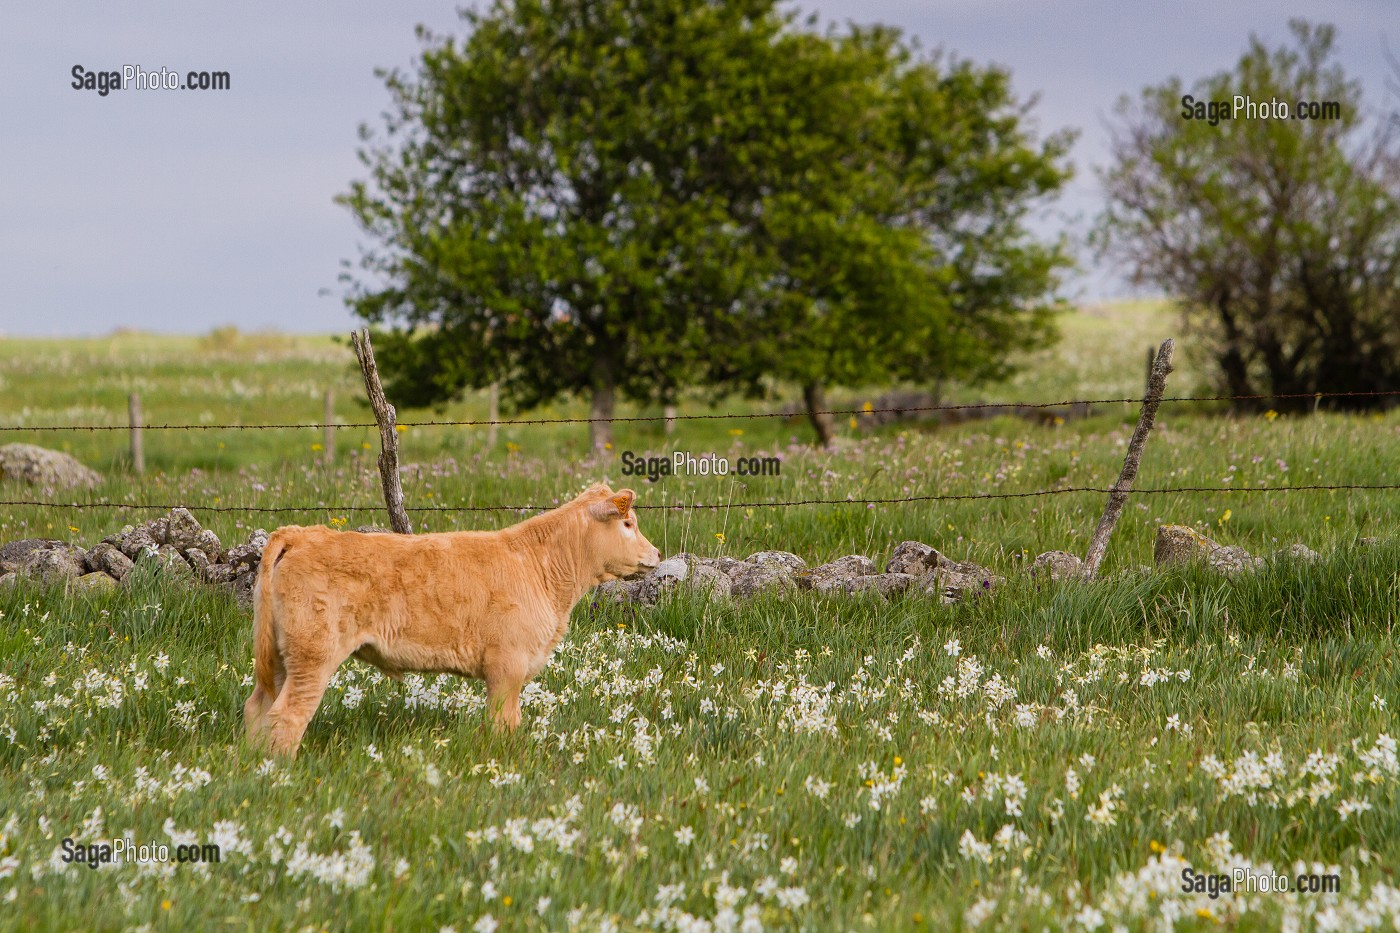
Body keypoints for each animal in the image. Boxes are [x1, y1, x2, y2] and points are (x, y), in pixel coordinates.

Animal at [243, 483, 661, 756]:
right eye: (628, 524)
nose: (656, 554)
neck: (540, 568)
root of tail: (301, 533)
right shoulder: (507, 666)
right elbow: (504, 725)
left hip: (280, 656)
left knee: (258, 707)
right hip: (312, 655)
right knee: (286, 716)